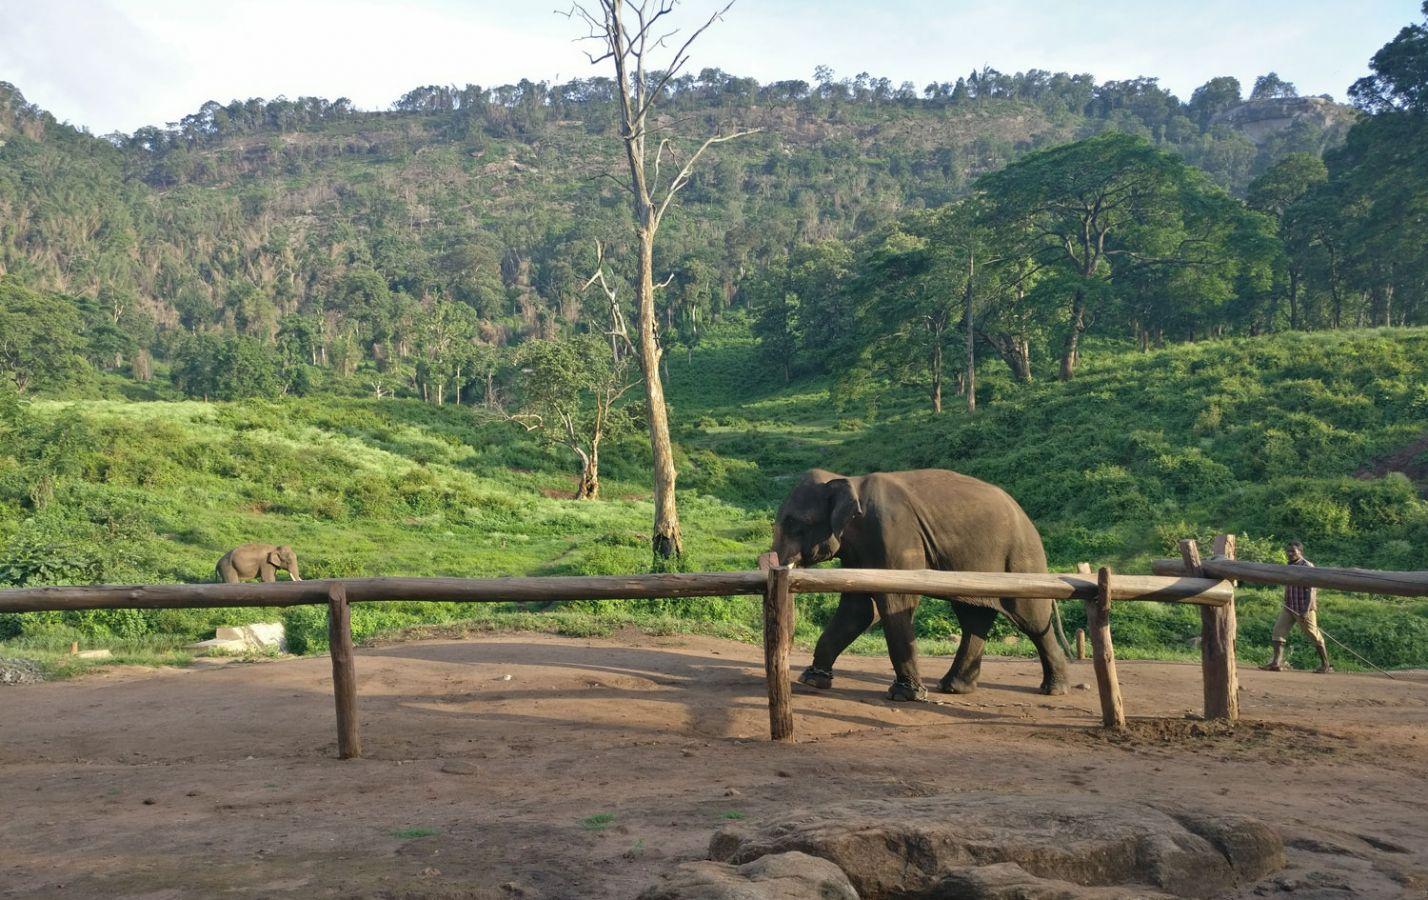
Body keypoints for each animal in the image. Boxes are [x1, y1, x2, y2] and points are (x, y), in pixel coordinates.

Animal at [771, 471, 1073, 705]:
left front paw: (904, 696)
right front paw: (812, 680)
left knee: (1031, 617)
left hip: (1020, 557)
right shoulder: (857, 550)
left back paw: (1054, 689)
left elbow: (895, 602)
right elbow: (858, 609)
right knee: (973, 615)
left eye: (795, 524)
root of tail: (1025, 516)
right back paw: (954, 687)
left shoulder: (894, 534)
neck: (850, 481)